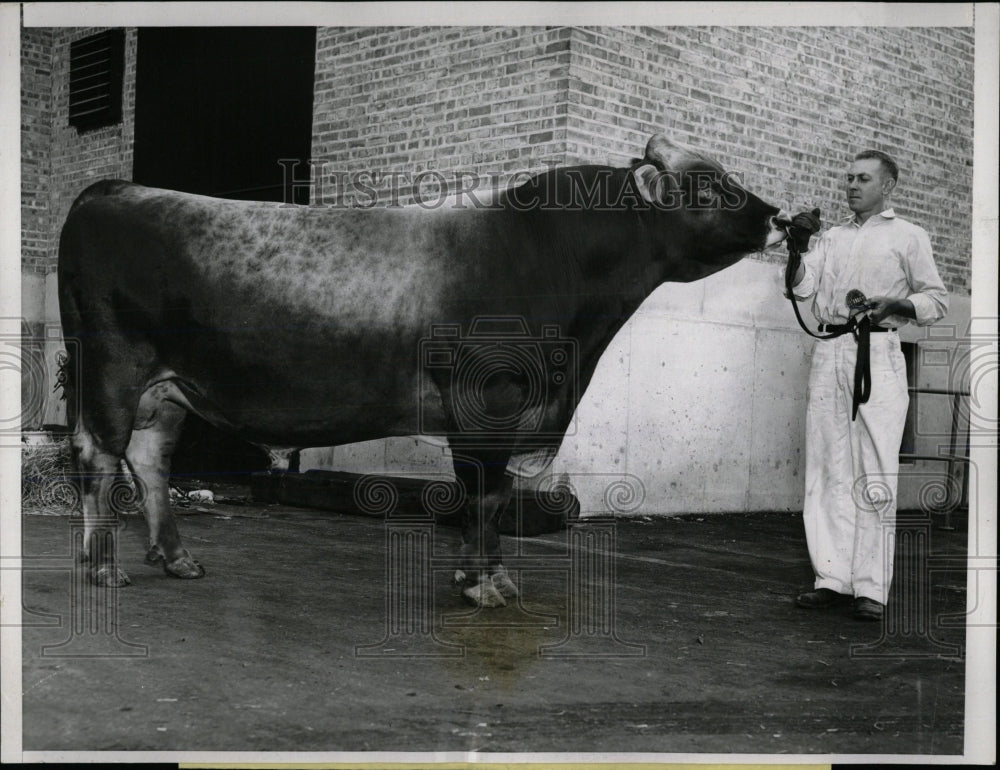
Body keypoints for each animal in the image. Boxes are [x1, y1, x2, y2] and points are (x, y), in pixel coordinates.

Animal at [56, 136, 788, 608]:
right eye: (709, 185)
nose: (779, 215)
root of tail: (113, 187)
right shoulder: (489, 399)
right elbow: (485, 494)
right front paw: (487, 582)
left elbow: (485, 494)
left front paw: (477, 575)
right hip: (113, 369)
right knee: (98, 456)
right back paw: (101, 567)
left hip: (168, 388)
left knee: (150, 457)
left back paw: (175, 558)